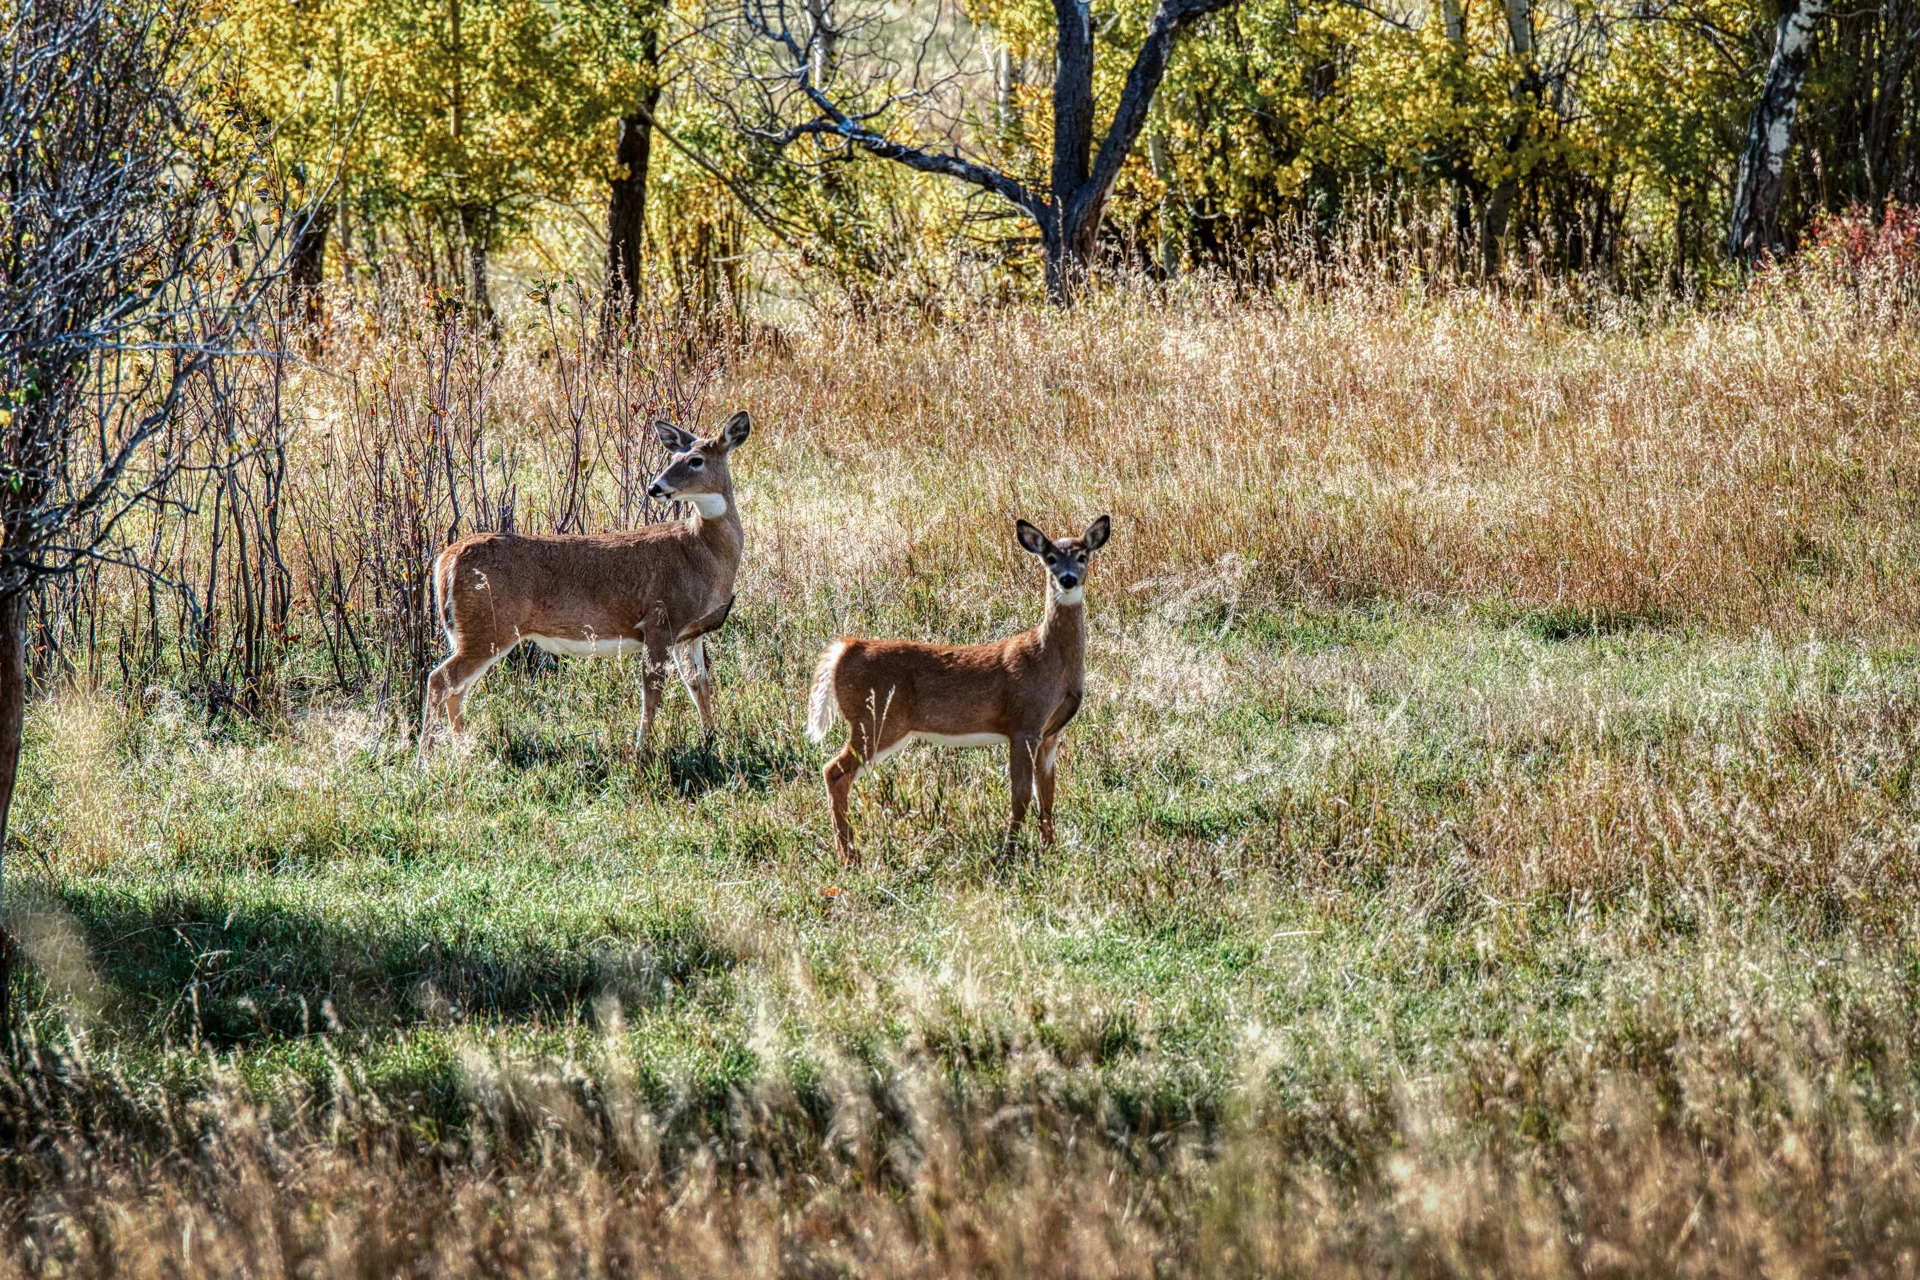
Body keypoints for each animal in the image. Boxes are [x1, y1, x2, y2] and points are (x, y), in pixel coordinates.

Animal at [418, 411, 752, 762]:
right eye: (674, 457)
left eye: (695, 460)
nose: (654, 487)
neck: (702, 551)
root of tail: (446, 561)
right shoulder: (660, 619)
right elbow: (652, 690)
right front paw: (641, 749)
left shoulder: (690, 632)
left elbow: (698, 684)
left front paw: (713, 738)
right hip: (488, 626)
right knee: (440, 680)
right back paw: (425, 759)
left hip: (477, 631)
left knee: (456, 689)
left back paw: (464, 753)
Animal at [806, 515, 1111, 862]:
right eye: (1050, 558)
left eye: (1082, 555)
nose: (1068, 579)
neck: (1048, 659)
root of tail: (844, 650)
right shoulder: (1024, 723)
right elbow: (1020, 795)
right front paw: (1007, 854)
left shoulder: (1050, 732)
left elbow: (1047, 794)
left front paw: (1049, 850)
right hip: (873, 720)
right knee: (833, 771)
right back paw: (849, 856)